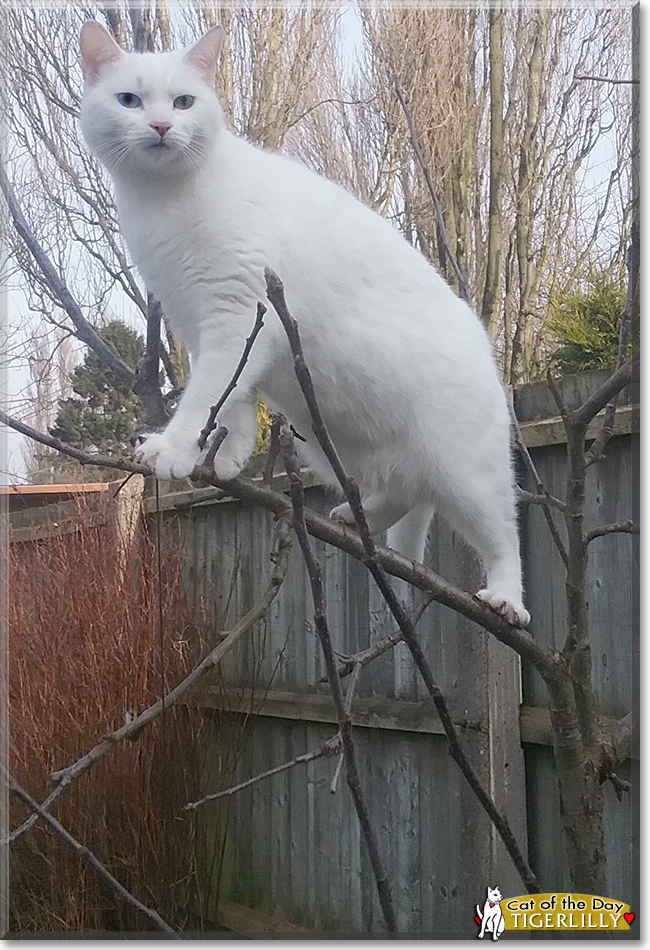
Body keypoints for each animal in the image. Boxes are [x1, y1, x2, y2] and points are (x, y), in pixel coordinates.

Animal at [78, 22, 528, 628]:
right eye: (129, 100)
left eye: (183, 101)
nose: (161, 126)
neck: (162, 200)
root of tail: (485, 344)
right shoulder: (203, 323)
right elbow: (230, 397)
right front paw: (227, 456)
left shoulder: (237, 312)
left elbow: (204, 396)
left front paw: (173, 447)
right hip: (325, 436)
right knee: (402, 491)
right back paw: (354, 516)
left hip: (465, 473)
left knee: (502, 536)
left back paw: (507, 598)